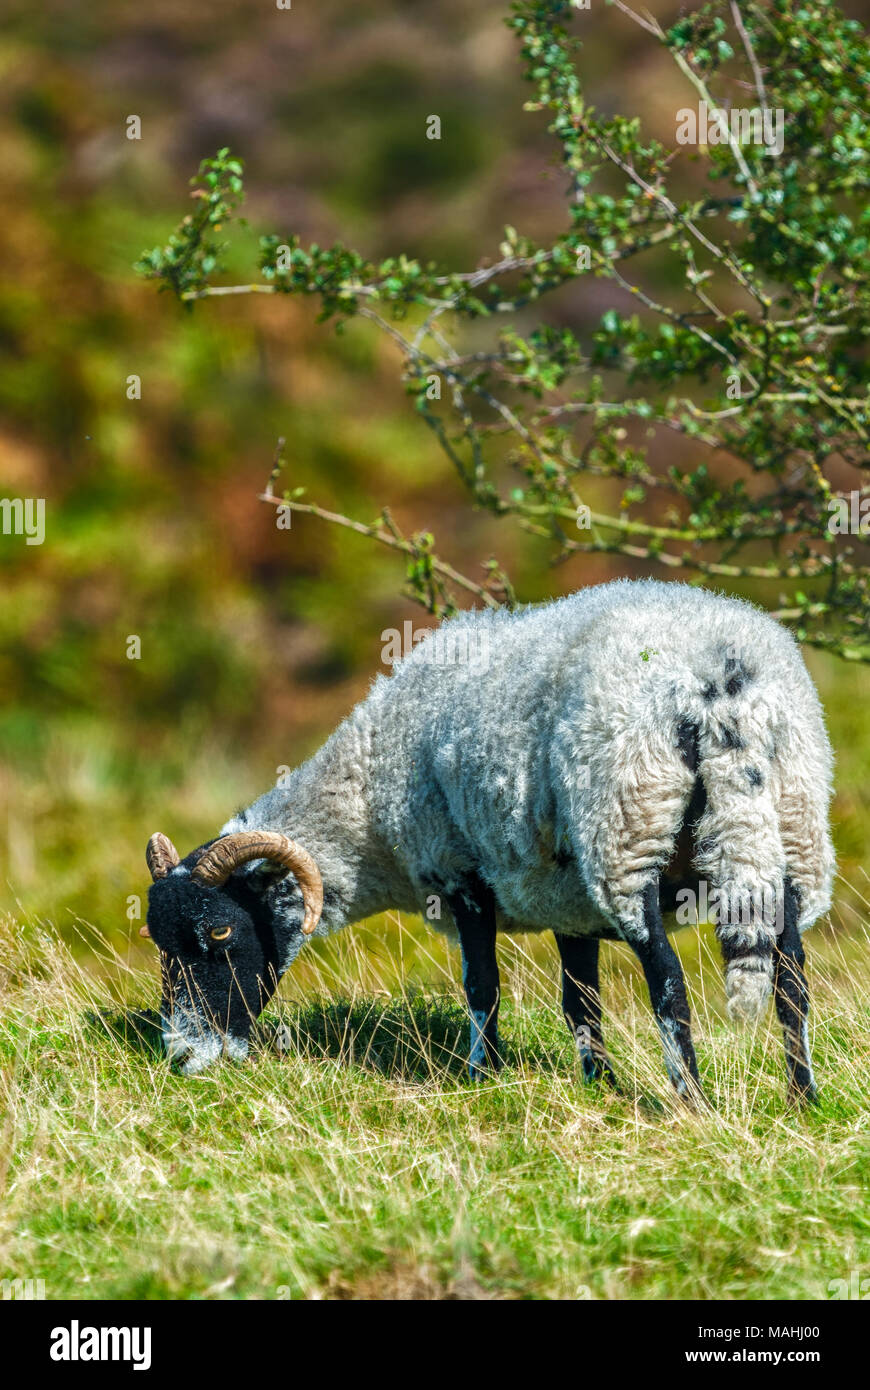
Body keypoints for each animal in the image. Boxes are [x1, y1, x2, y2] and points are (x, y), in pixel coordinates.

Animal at [143, 572, 833, 1095]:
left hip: (627, 829)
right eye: (159, 941)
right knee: (791, 979)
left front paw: (482, 1074)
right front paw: (599, 1084)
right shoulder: (567, 897)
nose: (181, 1055)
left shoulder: (459, 870)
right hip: (792, 825)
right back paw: (801, 1098)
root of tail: (721, 687)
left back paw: (689, 1101)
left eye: (220, 932)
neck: (366, 801)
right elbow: (580, 999)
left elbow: (483, 984)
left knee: (668, 981)